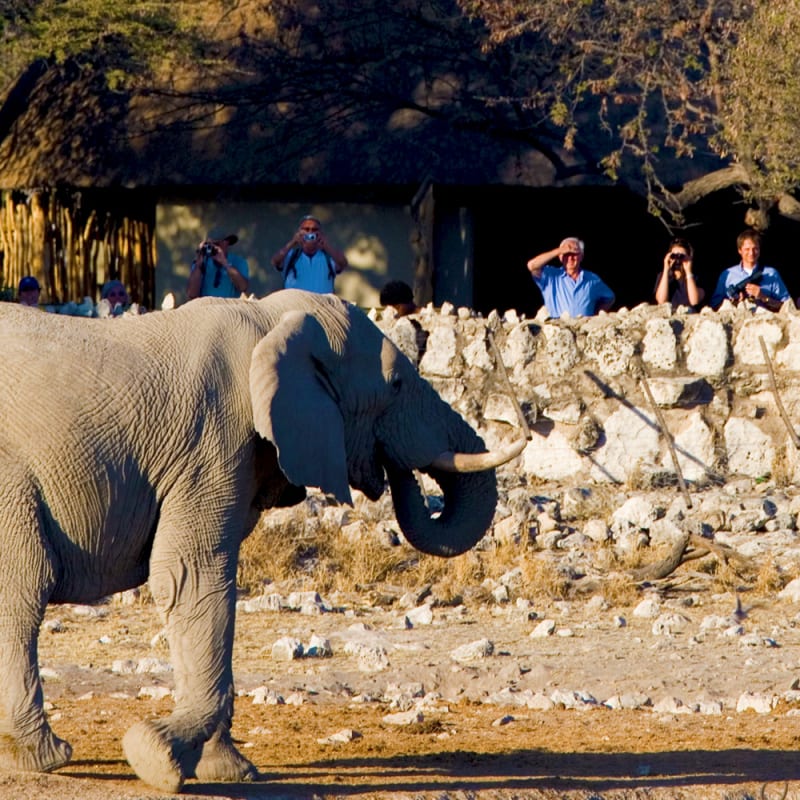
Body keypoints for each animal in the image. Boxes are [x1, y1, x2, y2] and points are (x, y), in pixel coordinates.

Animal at [0, 289, 522, 792]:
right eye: (394, 385)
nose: (396, 468)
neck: (270, 319)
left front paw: (226, 770)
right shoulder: (211, 443)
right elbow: (188, 577)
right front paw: (157, 757)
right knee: (23, 591)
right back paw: (44, 757)